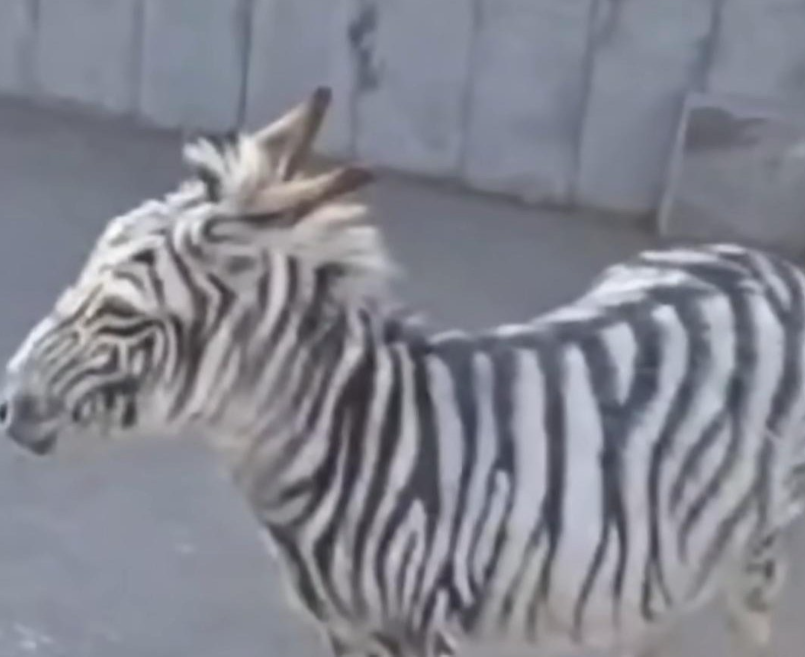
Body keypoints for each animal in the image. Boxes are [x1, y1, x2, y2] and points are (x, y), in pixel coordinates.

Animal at [1, 86, 804, 657]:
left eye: (125, 314)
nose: (8, 406)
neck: (351, 445)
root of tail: (765, 262)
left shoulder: (419, 626)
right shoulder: (341, 626)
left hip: (761, 547)